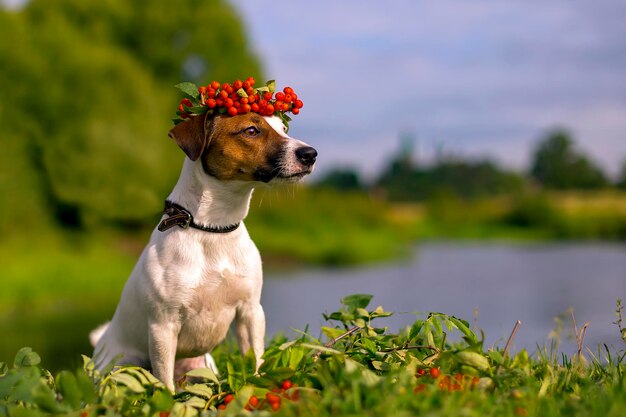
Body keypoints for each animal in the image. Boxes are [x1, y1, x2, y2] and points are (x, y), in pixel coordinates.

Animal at [91, 110, 316, 390]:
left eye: (283, 128)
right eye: (251, 130)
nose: (310, 153)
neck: (213, 228)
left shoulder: (250, 311)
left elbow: (256, 358)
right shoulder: (163, 326)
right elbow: (165, 383)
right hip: (125, 364)